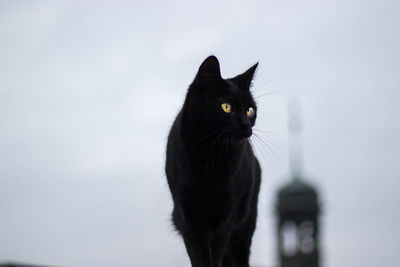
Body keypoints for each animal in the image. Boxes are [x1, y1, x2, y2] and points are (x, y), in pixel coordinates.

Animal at [165, 55, 260, 266]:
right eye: (226, 107)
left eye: (250, 110)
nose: (247, 125)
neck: (210, 156)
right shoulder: (188, 218)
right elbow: (199, 257)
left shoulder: (225, 218)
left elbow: (215, 255)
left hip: (244, 226)